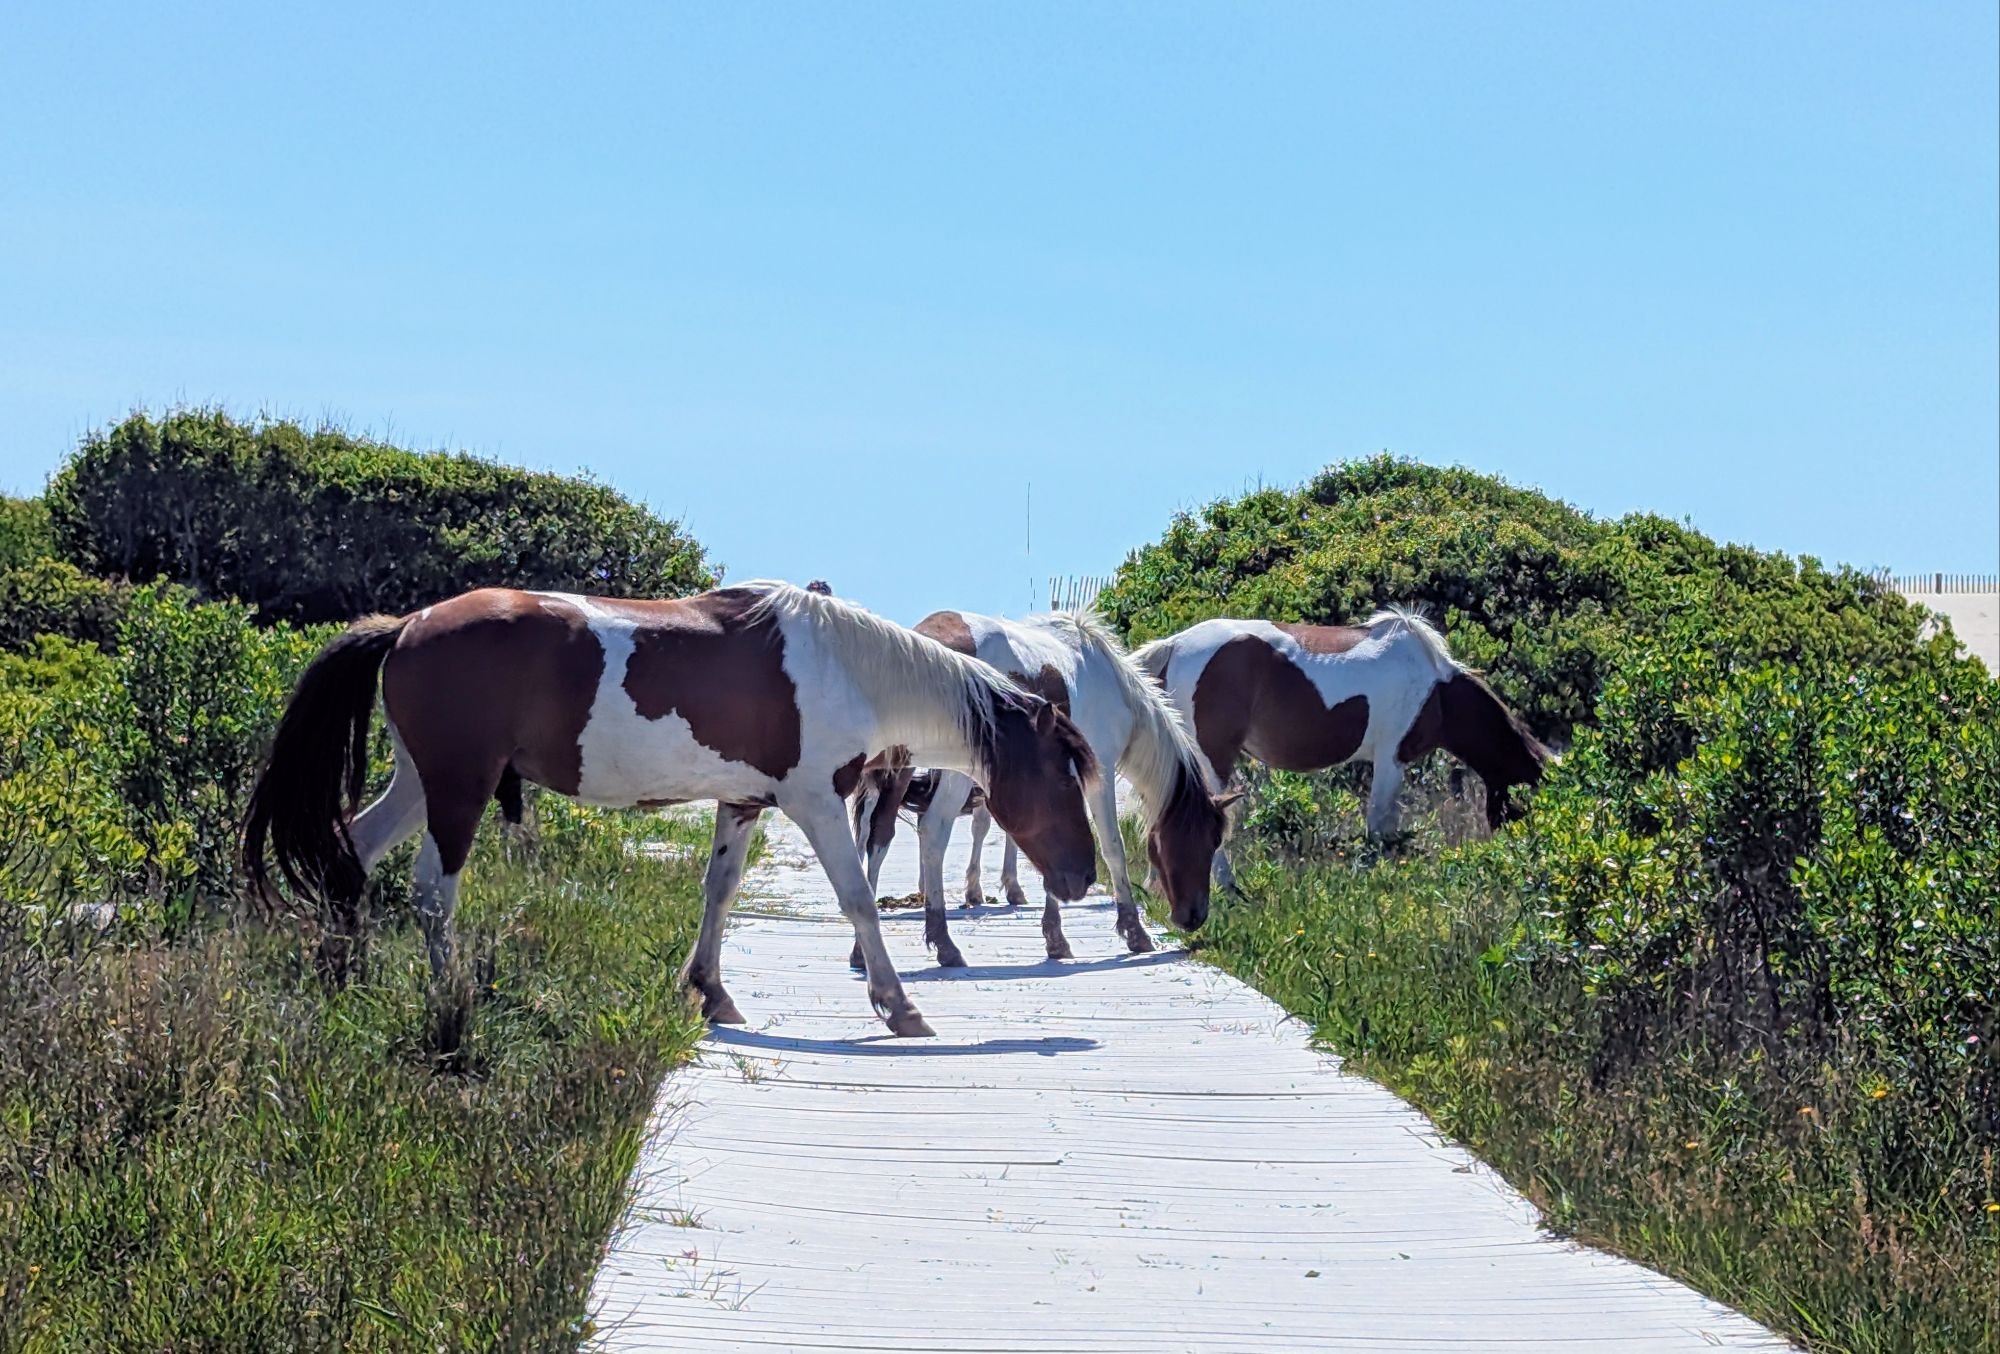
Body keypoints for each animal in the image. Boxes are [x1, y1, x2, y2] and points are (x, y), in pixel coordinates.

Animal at [242, 582, 1100, 1039]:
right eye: (1064, 776)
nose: (1082, 877)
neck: (844, 667)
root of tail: (405, 626)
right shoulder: (818, 804)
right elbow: (858, 900)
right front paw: (898, 1005)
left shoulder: (743, 803)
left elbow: (718, 892)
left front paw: (710, 991)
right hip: (460, 786)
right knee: (431, 890)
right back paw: (451, 999)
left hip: (421, 782)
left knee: (352, 852)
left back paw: (339, 978)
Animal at [851, 608, 1228, 968]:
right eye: (1210, 840)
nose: (1195, 916)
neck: (1113, 684)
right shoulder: (1099, 771)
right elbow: (1110, 846)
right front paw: (1132, 931)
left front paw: (1054, 935)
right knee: (932, 829)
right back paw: (943, 943)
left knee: (880, 834)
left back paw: (862, 950)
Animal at [1133, 610, 1550, 888]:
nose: (1522, 860)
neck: (1437, 691)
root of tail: (1174, 645)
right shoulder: (1391, 758)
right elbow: (1379, 825)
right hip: (1212, 759)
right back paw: (1226, 887)